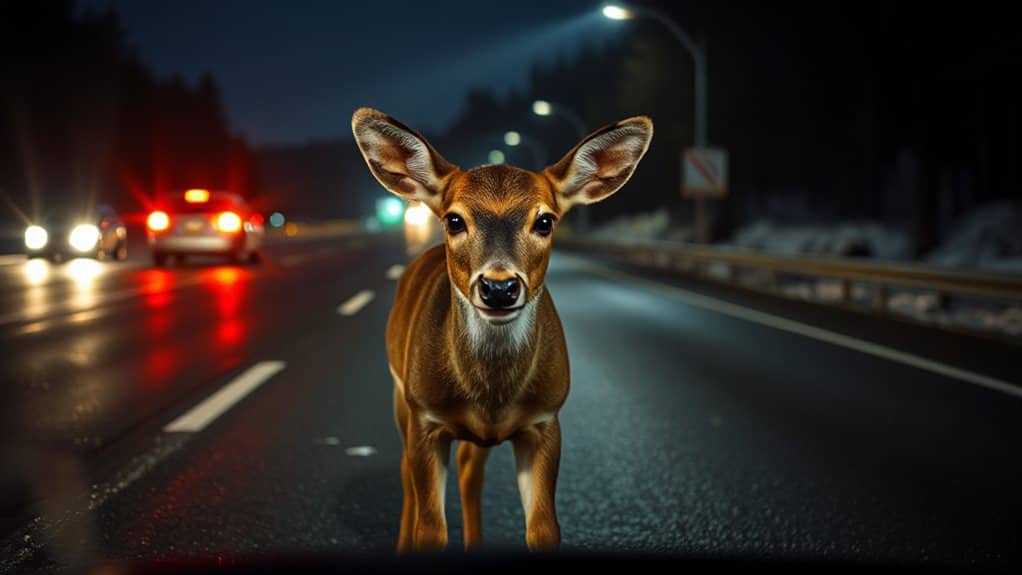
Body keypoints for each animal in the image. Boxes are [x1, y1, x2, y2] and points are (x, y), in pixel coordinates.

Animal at [351, 107, 653, 552]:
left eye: (545, 221)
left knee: (468, 466)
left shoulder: (545, 420)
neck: (490, 395)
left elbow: (544, 529)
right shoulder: (425, 416)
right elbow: (431, 529)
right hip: (400, 393)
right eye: (454, 219)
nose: (498, 287)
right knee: (408, 471)